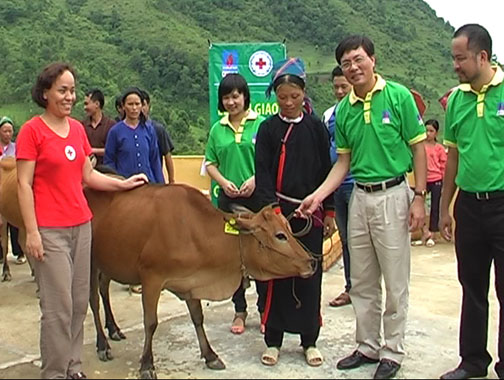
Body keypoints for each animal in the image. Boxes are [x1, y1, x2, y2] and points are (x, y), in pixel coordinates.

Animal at [86, 183, 316, 378]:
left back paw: (114, 329)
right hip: (90, 262)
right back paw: (102, 344)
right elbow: (150, 322)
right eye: (280, 236)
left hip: (109, 263)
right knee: (93, 301)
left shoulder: (191, 282)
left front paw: (210, 356)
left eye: (289, 229)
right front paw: (147, 365)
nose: (311, 262)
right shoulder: (151, 278)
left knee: (104, 289)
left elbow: (197, 318)